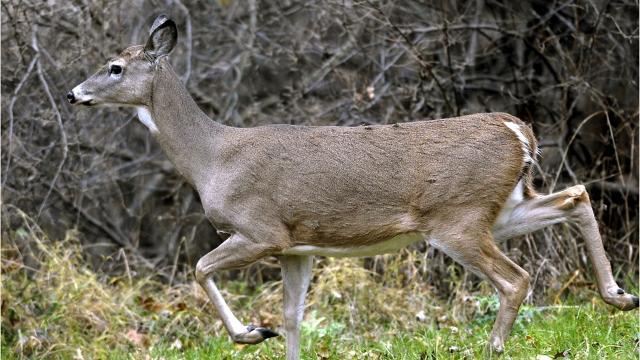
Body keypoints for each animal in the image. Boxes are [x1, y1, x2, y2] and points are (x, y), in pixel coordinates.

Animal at [67, 16, 636, 360]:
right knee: (576, 196)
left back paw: (494, 347)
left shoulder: (262, 229)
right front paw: (271, 334)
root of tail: (517, 131)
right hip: (498, 208)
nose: (73, 94)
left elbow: (200, 267)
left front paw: (250, 333)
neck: (213, 158)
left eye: (115, 67)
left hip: (457, 218)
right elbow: (293, 316)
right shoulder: (296, 247)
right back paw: (619, 295)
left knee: (516, 278)